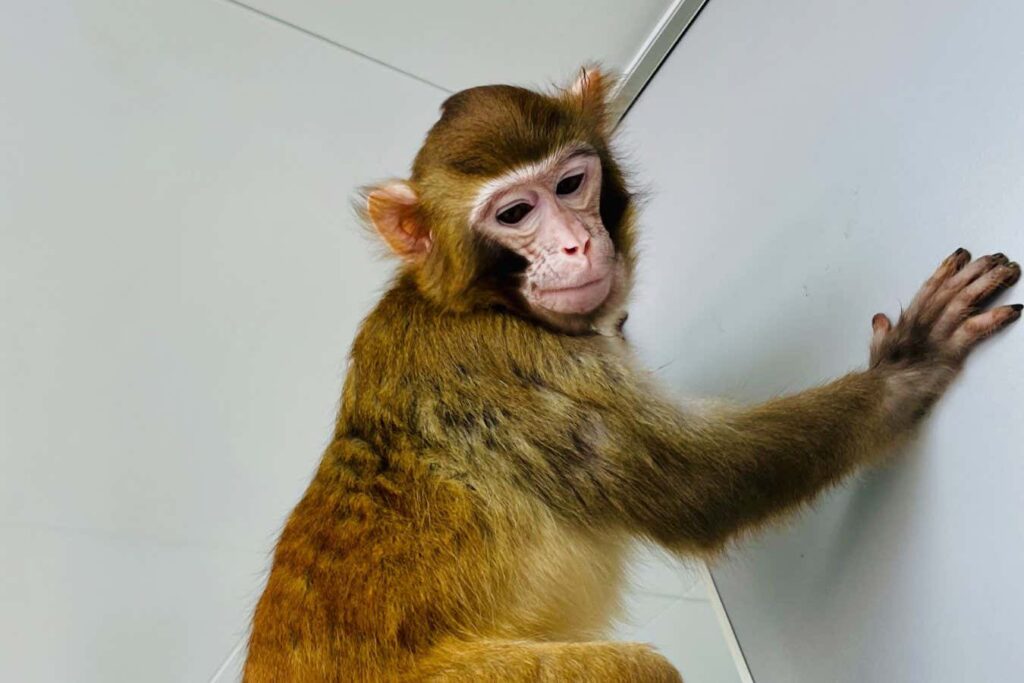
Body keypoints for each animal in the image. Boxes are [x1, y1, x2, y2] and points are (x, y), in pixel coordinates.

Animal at [241, 67, 1021, 682]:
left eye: (570, 183)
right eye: (516, 212)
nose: (575, 243)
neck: (476, 303)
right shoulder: (508, 363)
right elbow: (698, 487)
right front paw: (908, 368)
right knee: (638, 667)